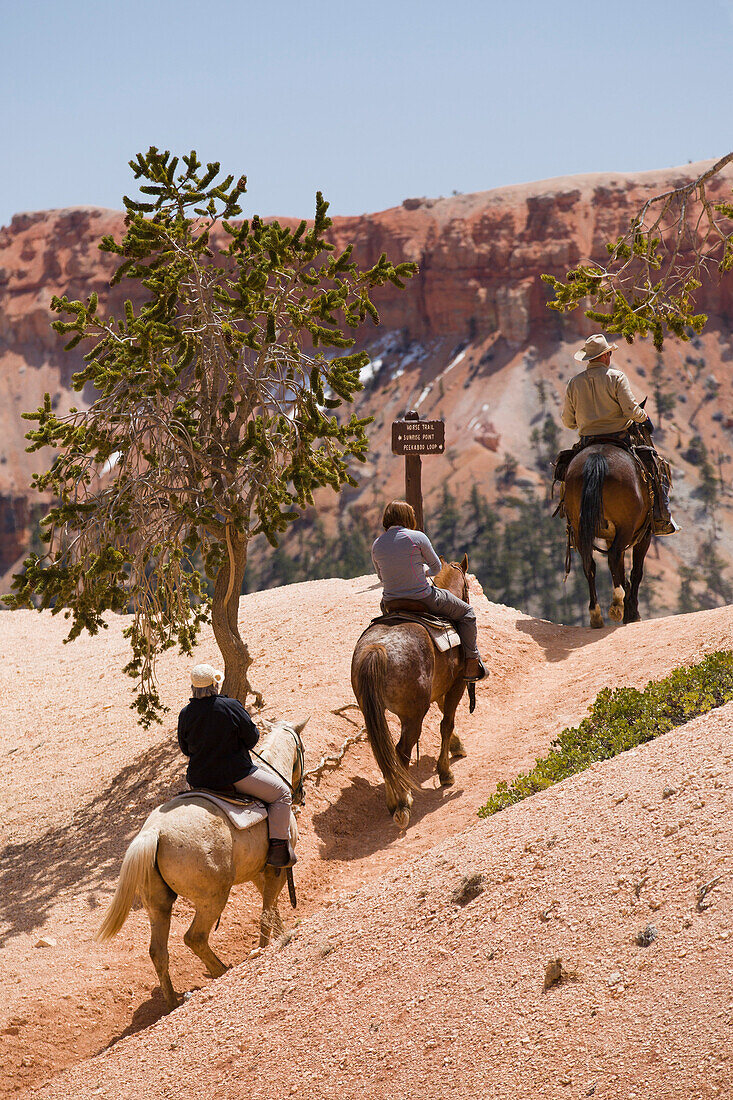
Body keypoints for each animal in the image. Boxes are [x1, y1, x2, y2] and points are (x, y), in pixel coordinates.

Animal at [94, 717, 305, 1007]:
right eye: (302, 749)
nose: (300, 794)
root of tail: (154, 832)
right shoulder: (278, 868)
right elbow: (267, 908)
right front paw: (267, 945)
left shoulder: (258, 872)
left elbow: (271, 906)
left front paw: (278, 933)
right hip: (213, 898)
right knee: (195, 938)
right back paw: (221, 971)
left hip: (158, 906)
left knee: (158, 952)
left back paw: (173, 1002)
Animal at [352, 554, 471, 827]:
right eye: (468, 588)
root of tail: (377, 649)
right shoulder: (457, 682)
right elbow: (446, 723)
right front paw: (445, 772)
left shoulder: (441, 686)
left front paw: (456, 746)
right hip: (413, 715)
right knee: (400, 751)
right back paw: (403, 802)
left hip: (372, 711)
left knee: (384, 752)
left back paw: (393, 799)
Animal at [559, 440, 651, 629]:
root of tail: (597, 457)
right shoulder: (644, 535)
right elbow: (636, 571)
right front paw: (632, 614)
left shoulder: (610, 537)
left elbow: (620, 571)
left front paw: (629, 610)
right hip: (626, 525)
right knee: (614, 556)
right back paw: (616, 604)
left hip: (579, 528)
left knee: (589, 563)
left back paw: (596, 615)